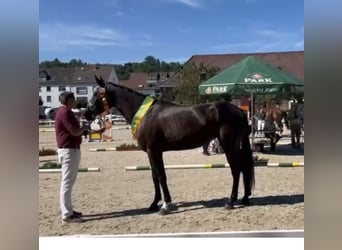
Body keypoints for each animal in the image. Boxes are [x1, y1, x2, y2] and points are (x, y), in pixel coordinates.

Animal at [83, 76, 254, 215]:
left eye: (97, 94)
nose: (86, 113)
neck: (145, 115)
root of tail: (239, 110)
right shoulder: (151, 153)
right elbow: (154, 176)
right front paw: (154, 204)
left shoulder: (154, 151)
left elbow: (161, 176)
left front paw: (165, 205)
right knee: (244, 168)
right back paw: (245, 198)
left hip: (229, 147)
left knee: (236, 170)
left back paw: (231, 201)